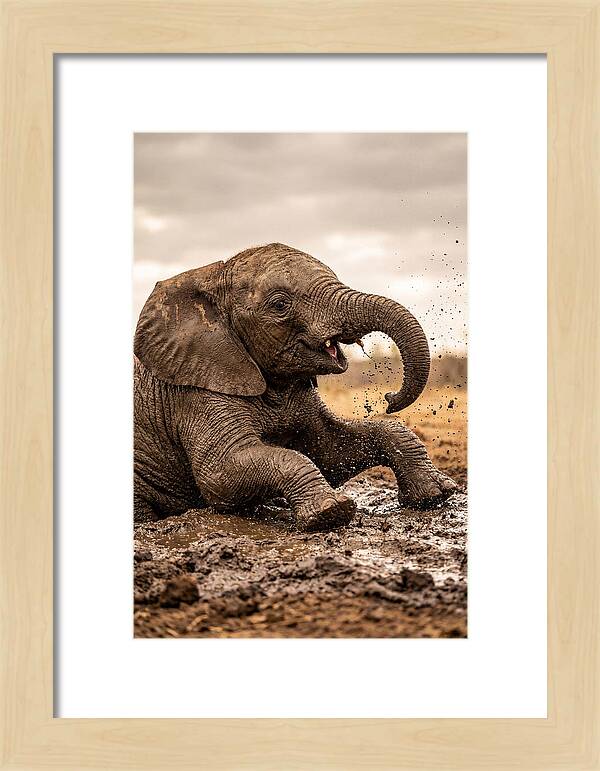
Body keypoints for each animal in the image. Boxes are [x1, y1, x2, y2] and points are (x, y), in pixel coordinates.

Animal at [133, 242, 457, 530]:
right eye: (280, 305)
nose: (389, 398)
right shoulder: (196, 392)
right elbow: (220, 475)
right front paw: (331, 512)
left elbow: (330, 451)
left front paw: (436, 494)